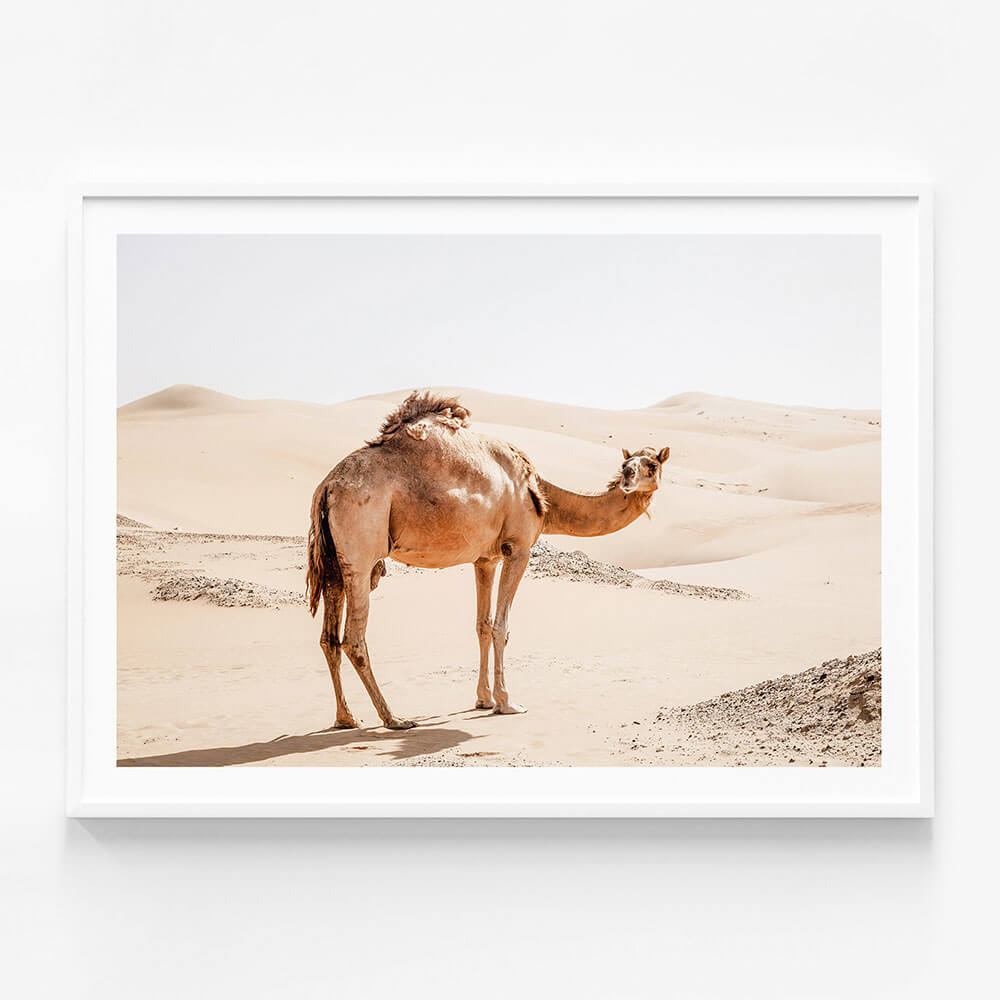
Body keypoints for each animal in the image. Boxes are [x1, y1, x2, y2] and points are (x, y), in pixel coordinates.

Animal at [306, 391, 670, 730]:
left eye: (651, 465)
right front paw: (507, 702)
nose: (627, 476)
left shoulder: (485, 559)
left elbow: (482, 624)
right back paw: (394, 718)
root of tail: (327, 486)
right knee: (354, 639)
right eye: (629, 464)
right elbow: (501, 626)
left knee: (329, 638)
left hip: (335, 561)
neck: (542, 495)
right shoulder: (518, 548)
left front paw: (483, 699)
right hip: (361, 553)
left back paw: (346, 718)